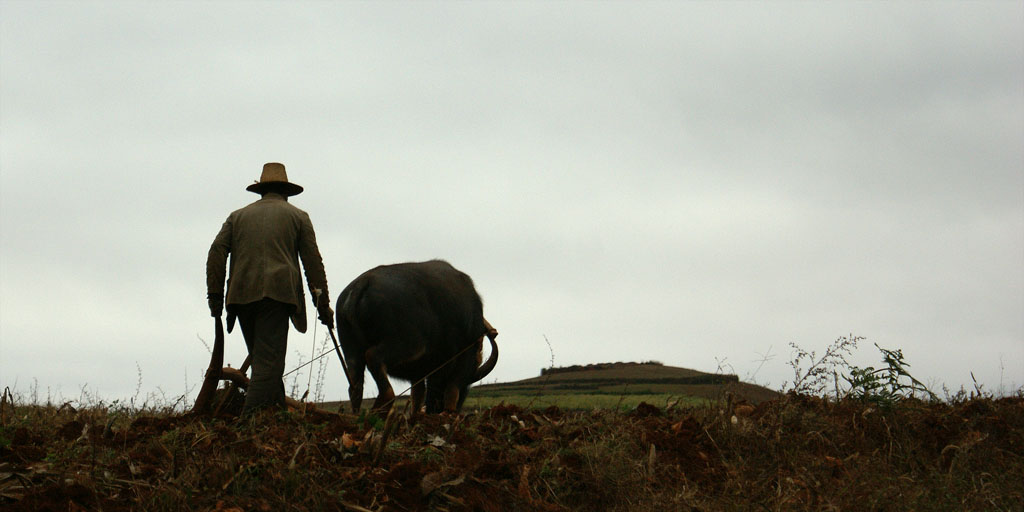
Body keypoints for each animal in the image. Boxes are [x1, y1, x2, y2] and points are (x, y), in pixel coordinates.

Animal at [333, 260, 497, 411]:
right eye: (467, 381)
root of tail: (362, 283)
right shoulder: (448, 364)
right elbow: (445, 391)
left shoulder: (418, 374)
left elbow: (417, 396)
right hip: (408, 345)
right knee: (373, 357)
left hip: (351, 350)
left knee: (355, 385)